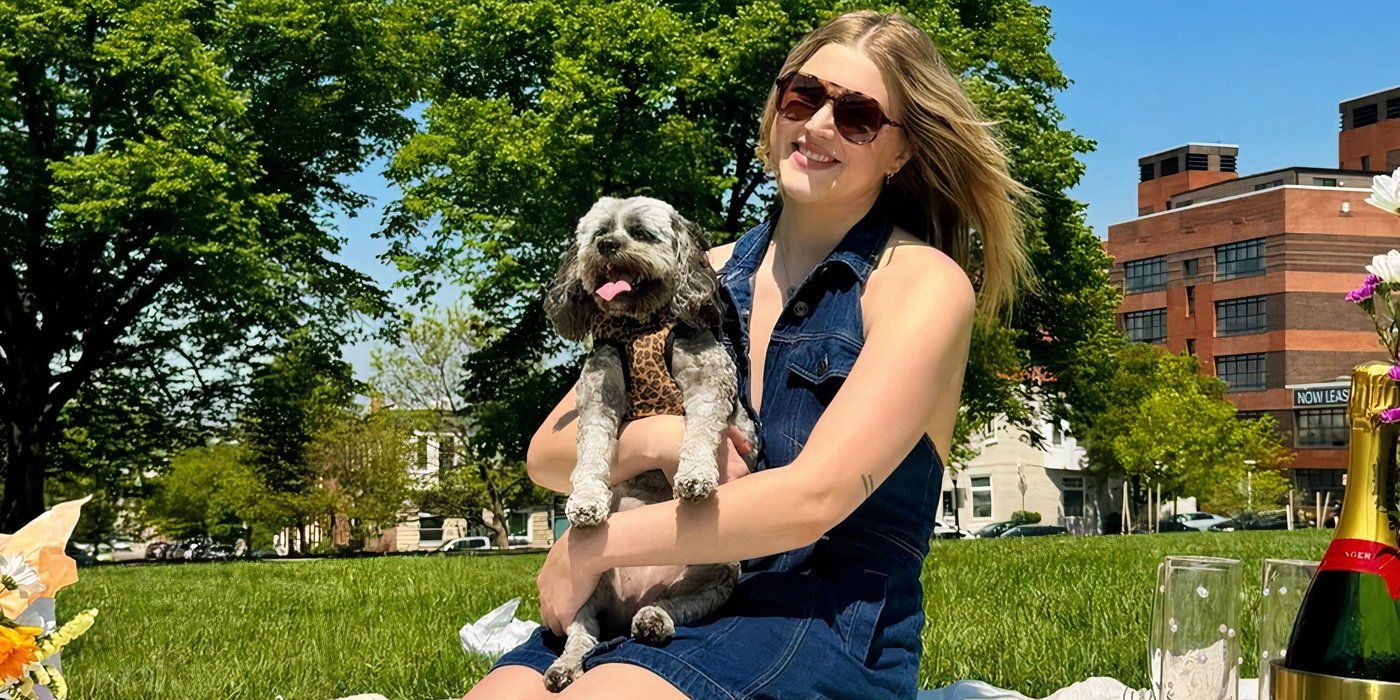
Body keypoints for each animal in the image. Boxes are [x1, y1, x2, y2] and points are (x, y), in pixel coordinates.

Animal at [537, 194, 761, 691]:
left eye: (640, 233)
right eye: (599, 231)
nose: (606, 246)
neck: (641, 328)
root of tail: (628, 605)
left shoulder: (708, 382)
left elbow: (698, 430)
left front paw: (695, 475)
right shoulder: (599, 392)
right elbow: (591, 452)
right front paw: (586, 500)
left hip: (716, 576)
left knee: (673, 606)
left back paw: (654, 621)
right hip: (587, 590)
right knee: (581, 635)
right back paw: (564, 667)